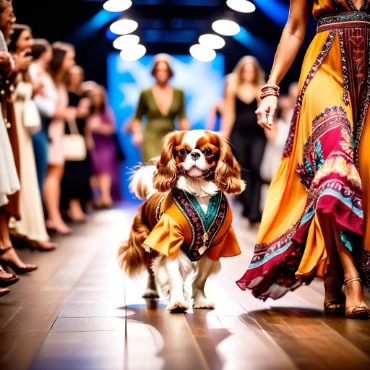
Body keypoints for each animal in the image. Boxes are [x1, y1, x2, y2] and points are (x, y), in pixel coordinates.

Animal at [118, 131, 246, 312]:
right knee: (150, 270)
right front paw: (177, 302)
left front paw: (200, 301)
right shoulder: (170, 241)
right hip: (145, 245)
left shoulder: (215, 246)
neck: (199, 190)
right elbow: (175, 278)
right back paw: (150, 291)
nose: (194, 154)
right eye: (183, 152)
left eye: (208, 151)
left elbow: (200, 279)